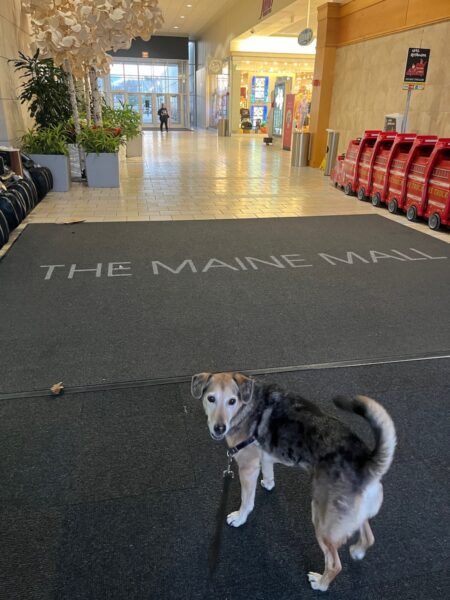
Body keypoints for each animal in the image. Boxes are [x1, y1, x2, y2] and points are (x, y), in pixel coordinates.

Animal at [192, 370, 396, 592]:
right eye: (211, 399)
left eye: (231, 401)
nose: (219, 428)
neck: (248, 405)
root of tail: (366, 463)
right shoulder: (265, 456)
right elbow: (269, 472)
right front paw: (268, 484)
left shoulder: (247, 467)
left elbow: (247, 501)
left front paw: (239, 518)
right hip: (349, 516)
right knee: (368, 536)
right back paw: (358, 551)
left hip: (323, 522)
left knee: (335, 564)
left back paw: (320, 583)